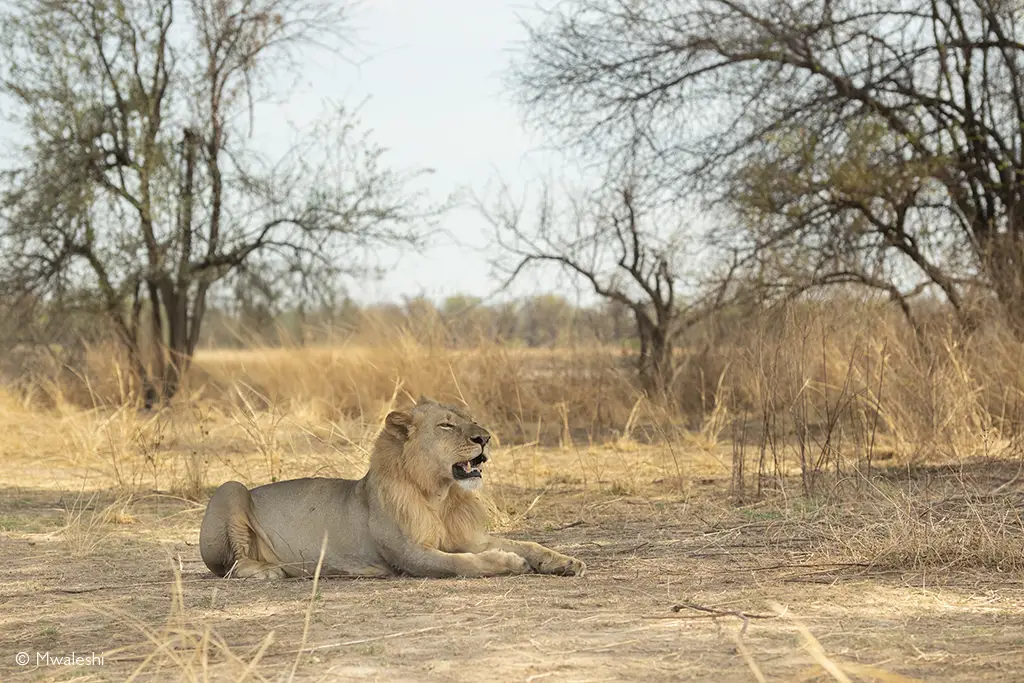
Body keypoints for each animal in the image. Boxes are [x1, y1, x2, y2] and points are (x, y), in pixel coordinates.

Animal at [199, 397, 586, 579]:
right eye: (447, 426)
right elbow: (462, 563)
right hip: (231, 488)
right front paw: (508, 561)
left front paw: (565, 561)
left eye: (471, 420)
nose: (485, 438)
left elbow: (528, 543)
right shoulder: (409, 554)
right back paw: (270, 569)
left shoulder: (466, 537)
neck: (440, 495)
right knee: (232, 566)